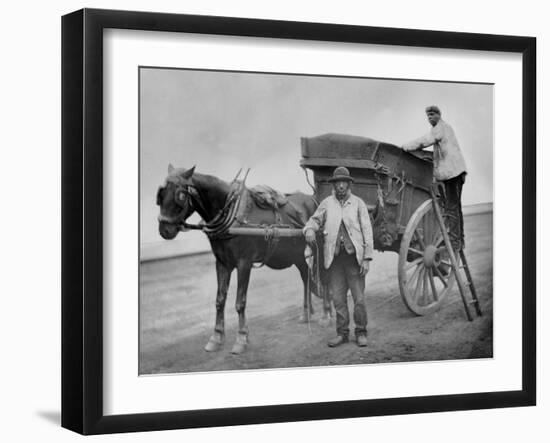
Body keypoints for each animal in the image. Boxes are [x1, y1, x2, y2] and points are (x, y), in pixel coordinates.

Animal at [155, 165, 332, 356]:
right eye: (161, 195)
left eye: (180, 195)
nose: (164, 230)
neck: (232, 215)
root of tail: (314, 199)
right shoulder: (222, 263)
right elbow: (220, 301)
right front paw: (216, 337)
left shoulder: (244, 264)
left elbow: (240, 302)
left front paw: (241, 339)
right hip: (296, 254)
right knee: (306, 277)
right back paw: (306, 313)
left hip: (318, 246)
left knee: (325, 278)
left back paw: (326, 314)